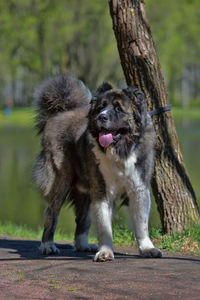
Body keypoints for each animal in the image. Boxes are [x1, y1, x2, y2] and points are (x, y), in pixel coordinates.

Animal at [34, 74, 162, 262]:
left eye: (118, 108)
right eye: (101, 107)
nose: (101, 117)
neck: (120, 151)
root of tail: (61, 111)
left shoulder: (138, 189)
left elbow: (141, 223)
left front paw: (147, 248)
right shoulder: (101, 190)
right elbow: (104, 226)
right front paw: (105, 251)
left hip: (86, 190)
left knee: (82, 219)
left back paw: (82, 245)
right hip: (60, 181)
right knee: (52, 213)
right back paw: (47, 245)